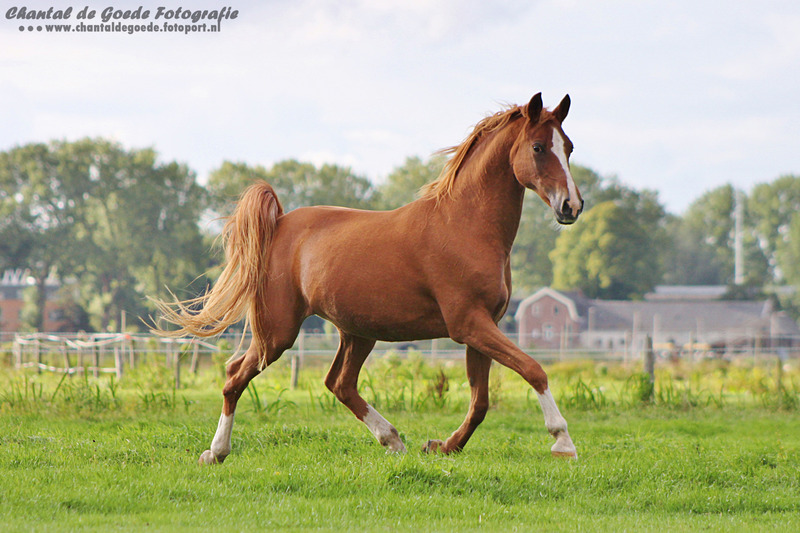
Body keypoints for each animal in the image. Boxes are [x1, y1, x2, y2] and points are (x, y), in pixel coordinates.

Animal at [154, 93, 584, 464]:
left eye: (569, 146)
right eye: (538, 148)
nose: (571, 206)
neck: (465, 226)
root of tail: (278, 224)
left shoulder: (482, 326)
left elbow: (480, 401)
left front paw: (442, 446)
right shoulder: (469, 324)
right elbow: (533, 369)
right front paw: (562, 440)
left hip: (357, 331)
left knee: (339, 383)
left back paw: (392, 439)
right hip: (278, 332)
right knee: (235, 376)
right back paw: (216, 452)